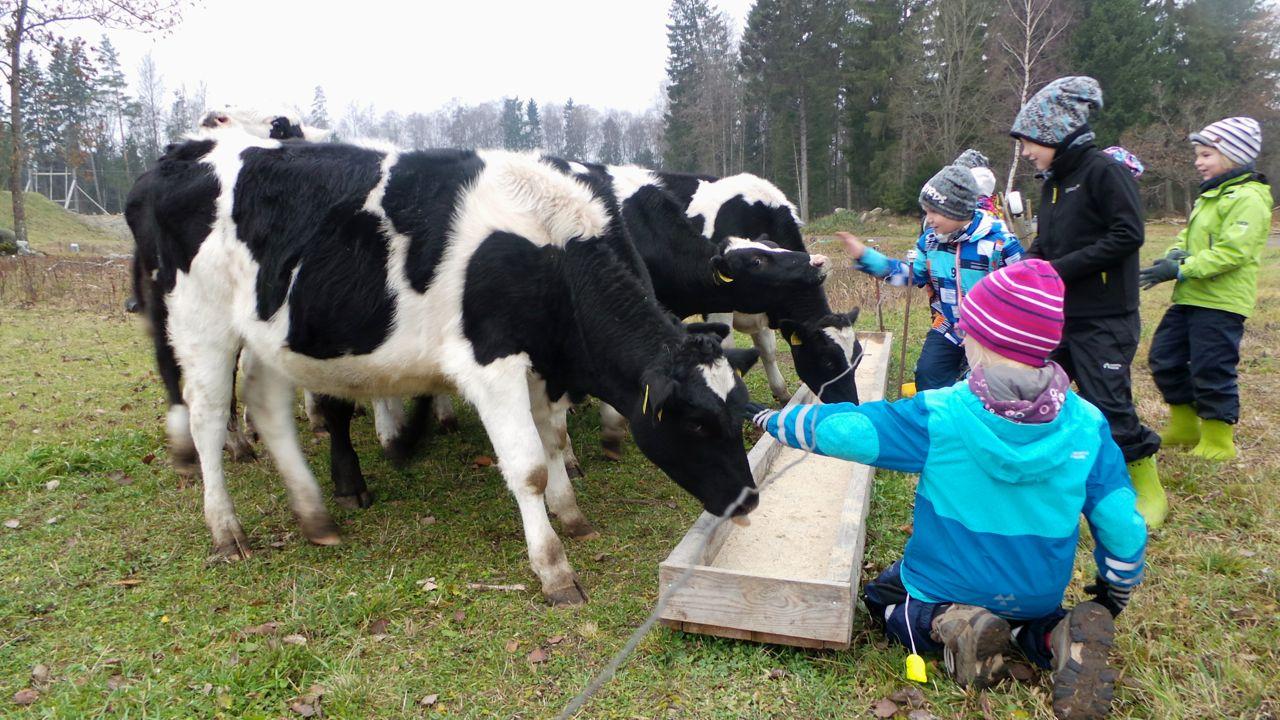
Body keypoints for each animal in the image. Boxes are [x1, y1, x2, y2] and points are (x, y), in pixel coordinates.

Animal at [123, 131, 752, 602]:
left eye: (740, 412)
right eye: (696, 423)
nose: (747, 502)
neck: (547, 246)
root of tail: (182, 156)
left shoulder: (543, 365)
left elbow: (552, 439)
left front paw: (571, 516)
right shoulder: (491, 364)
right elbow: (528, 466)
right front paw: (554, 569)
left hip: (273, 334)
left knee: (266, 405)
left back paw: (315, 515)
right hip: (200, 322)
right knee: (207, 416)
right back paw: (226, 529)